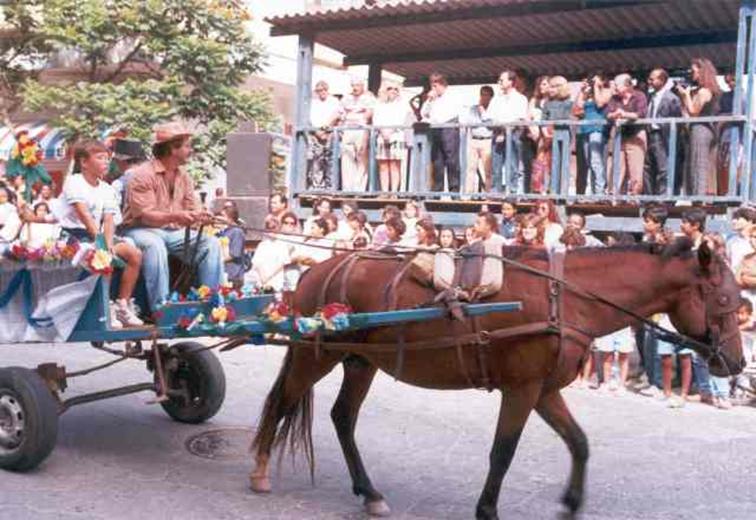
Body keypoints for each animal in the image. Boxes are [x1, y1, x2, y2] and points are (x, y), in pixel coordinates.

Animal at [250, 241, 744, 520]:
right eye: (724, 299)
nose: (736, 363)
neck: (565, 298)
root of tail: (313, 269)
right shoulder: (521, 389)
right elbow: (502, 453)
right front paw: (487, 509)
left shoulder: (544, 389)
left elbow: (579, 442)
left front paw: (572, 501)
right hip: (317, 353)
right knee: (281, 402)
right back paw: (259, 471)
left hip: (360, 361)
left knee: (343, 418)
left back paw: (369, 492)